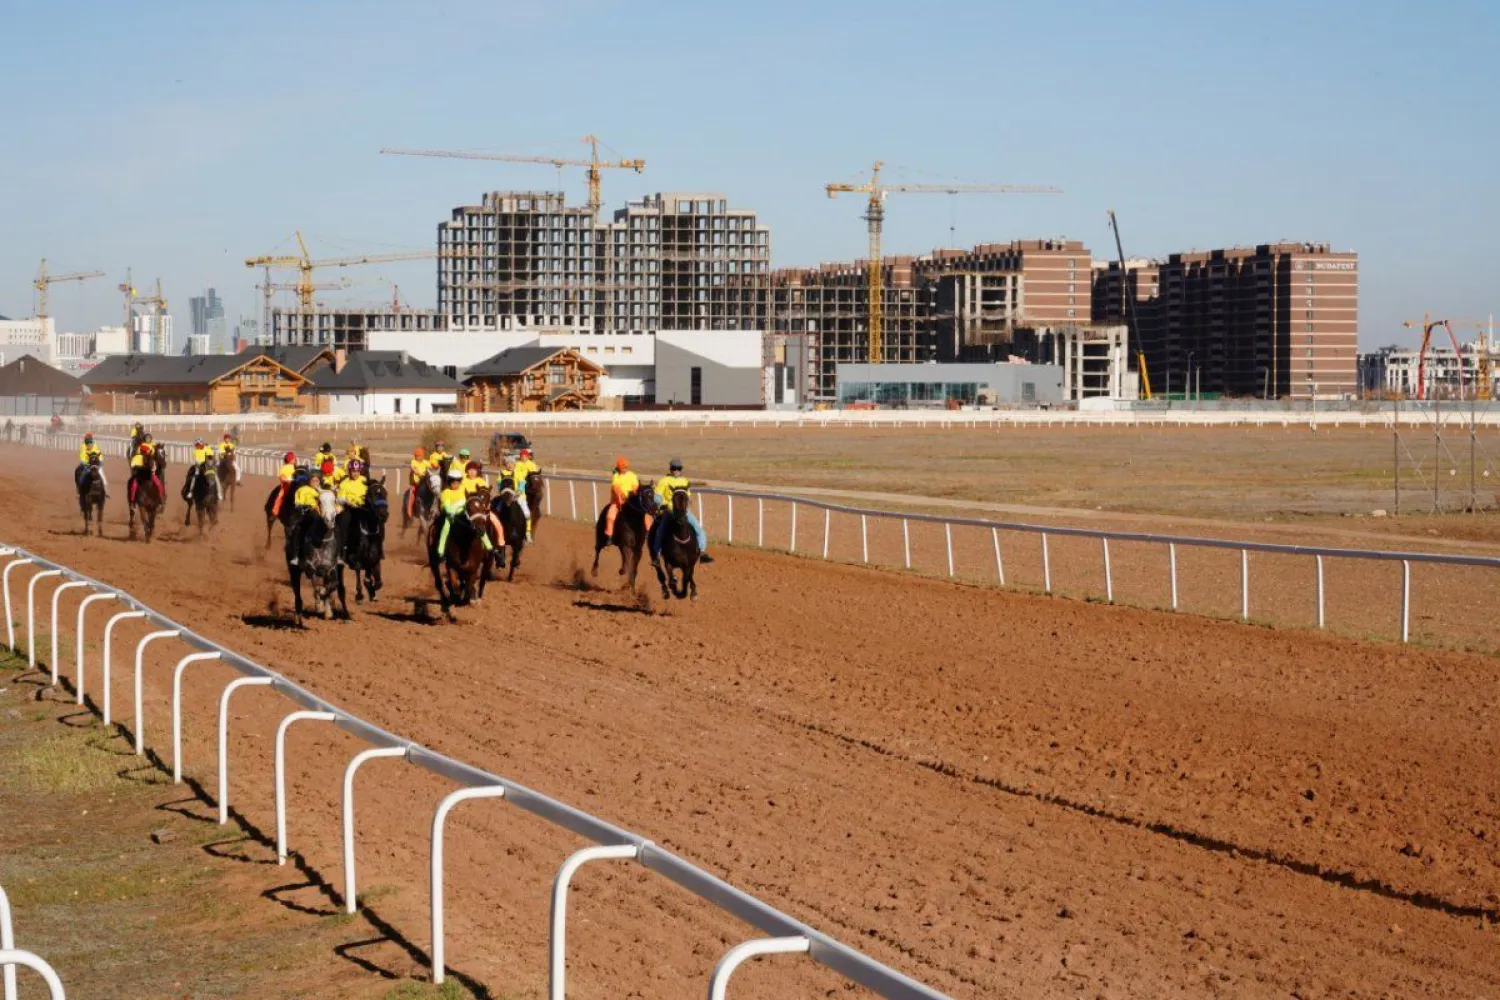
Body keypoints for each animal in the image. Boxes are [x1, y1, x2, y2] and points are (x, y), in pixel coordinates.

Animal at [286, 491, 348, 620]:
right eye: (319, 501)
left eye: (334, 500)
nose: (329, 520)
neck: (322, 542)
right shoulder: (311, 568)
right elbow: (316, 586)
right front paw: (319, 606)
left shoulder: (331, 568)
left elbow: (332, 585)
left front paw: (327, 610)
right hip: (293, 569)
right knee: (297, 594)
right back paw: (298, 617)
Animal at [429, 491, 492, 620]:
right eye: (468, 508)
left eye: (483, 509)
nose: (480, 529)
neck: (465, 542)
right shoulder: (451, 564)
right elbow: (455, 584)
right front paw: (455, 598)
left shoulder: (473, 566)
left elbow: (470, 583)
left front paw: (471, 600)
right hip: (433, 559)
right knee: (439, 582)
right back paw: (446, 602)